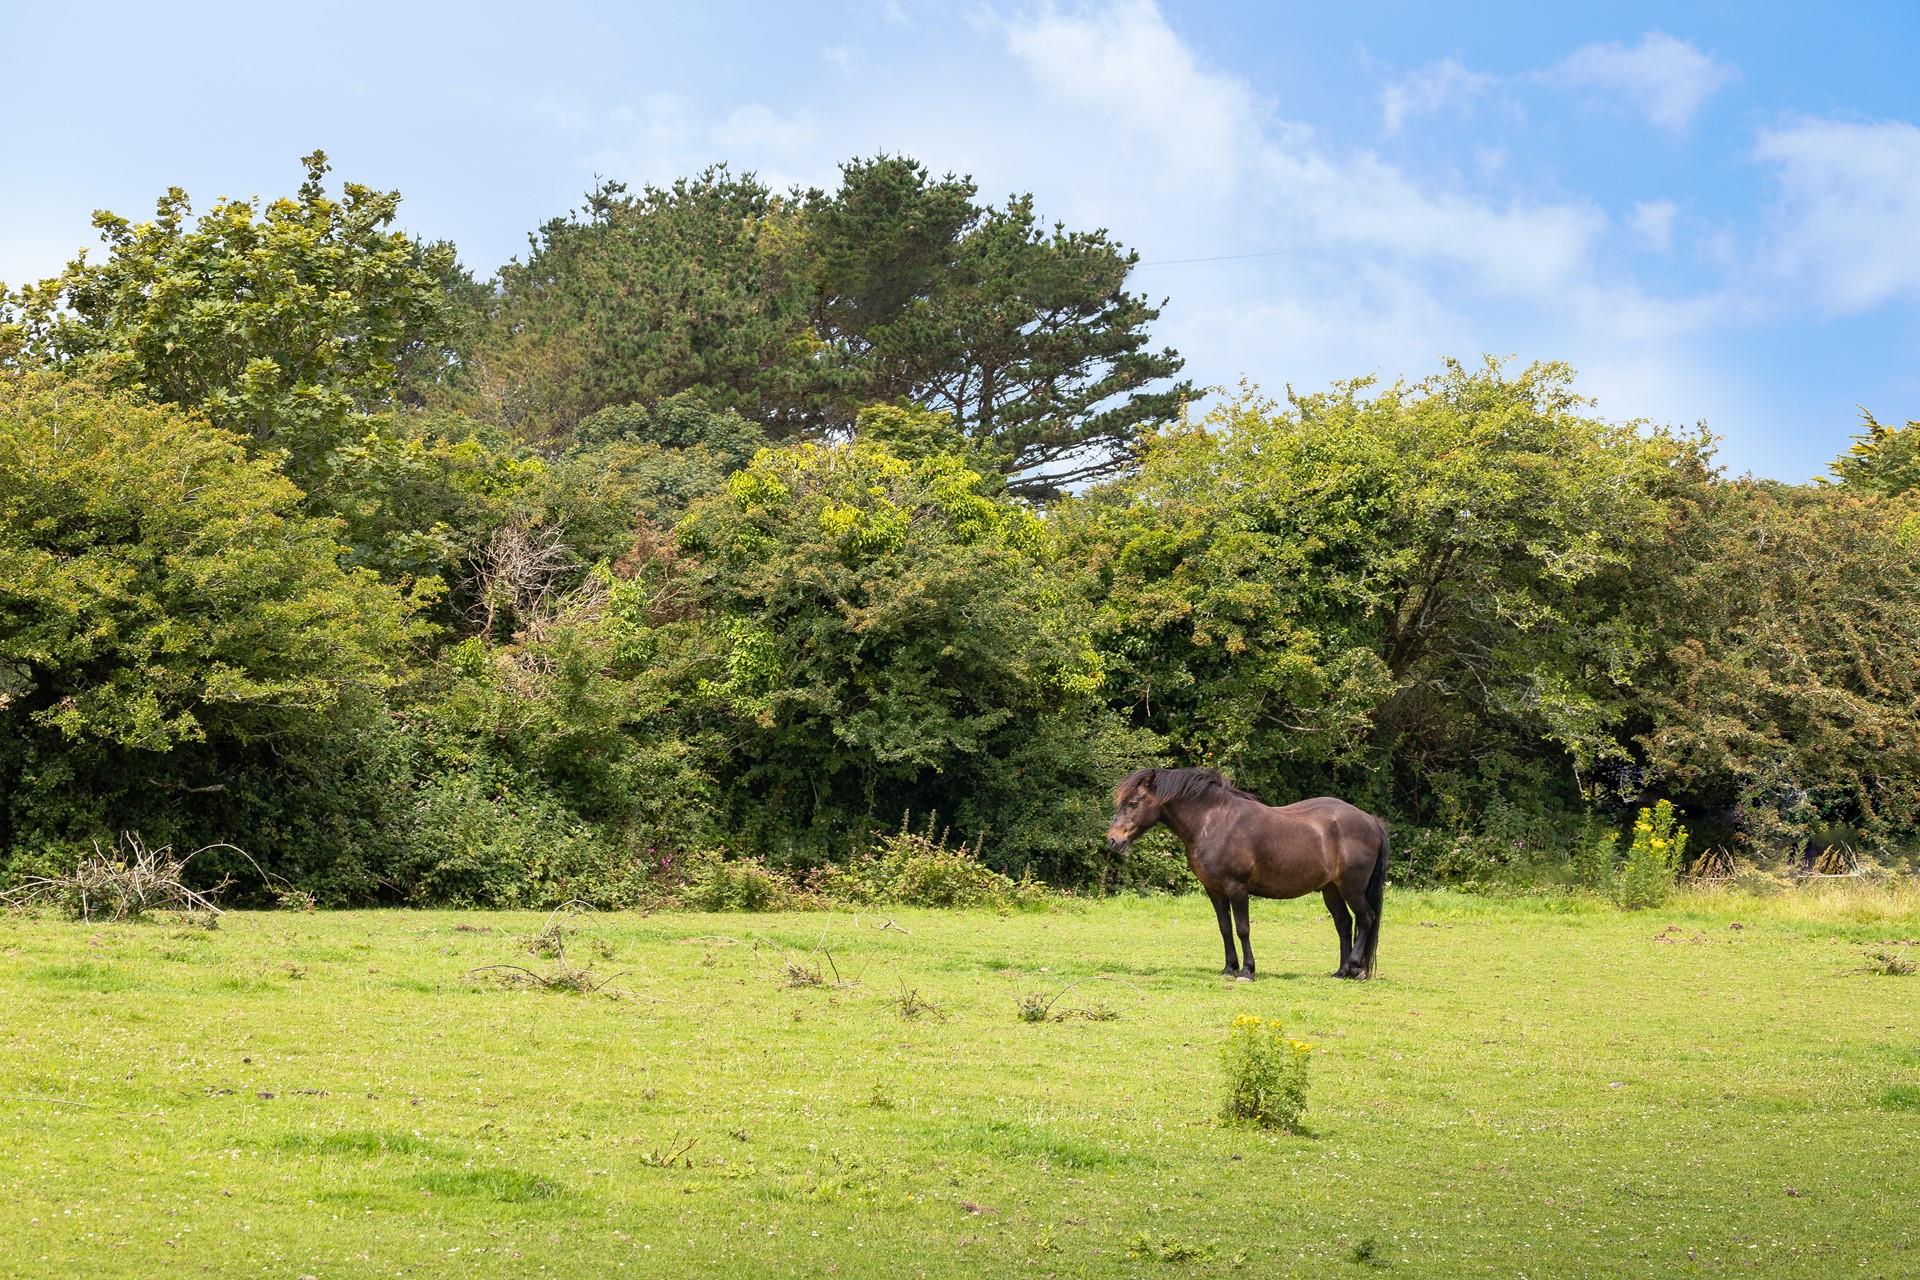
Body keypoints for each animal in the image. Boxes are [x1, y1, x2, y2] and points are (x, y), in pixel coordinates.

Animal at [1105, 767, 1389, 980]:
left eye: (1132, 803)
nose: (1113, 840)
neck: (1213, 821)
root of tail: (1371, 821)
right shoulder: (1215, 891)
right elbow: (1225, 928)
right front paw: (1228, 968)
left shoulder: (1237, 889)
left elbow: (1242, 928)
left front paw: (1247, 970)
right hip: (1331, 889)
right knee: (1344, 924)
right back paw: (1341, 971)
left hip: (1352, 888)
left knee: (1366, 919)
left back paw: (1356, 968)